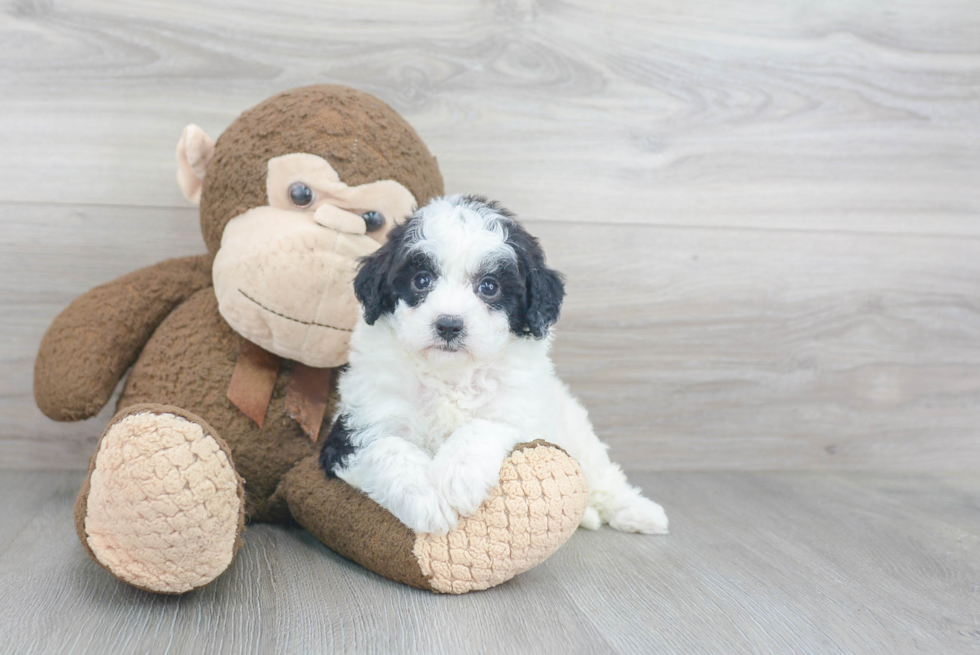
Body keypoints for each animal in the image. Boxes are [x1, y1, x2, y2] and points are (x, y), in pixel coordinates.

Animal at [318, 195, 668, 540]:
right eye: (421, 280)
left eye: (489, 287)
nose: (449, 325)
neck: (450, 376)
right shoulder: (355, 426)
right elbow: (387, 447)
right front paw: (426, 497)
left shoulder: (522, 412)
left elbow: (485, 425)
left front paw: (457, 475)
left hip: (576, 431)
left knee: (604, 476)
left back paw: (641, 512)